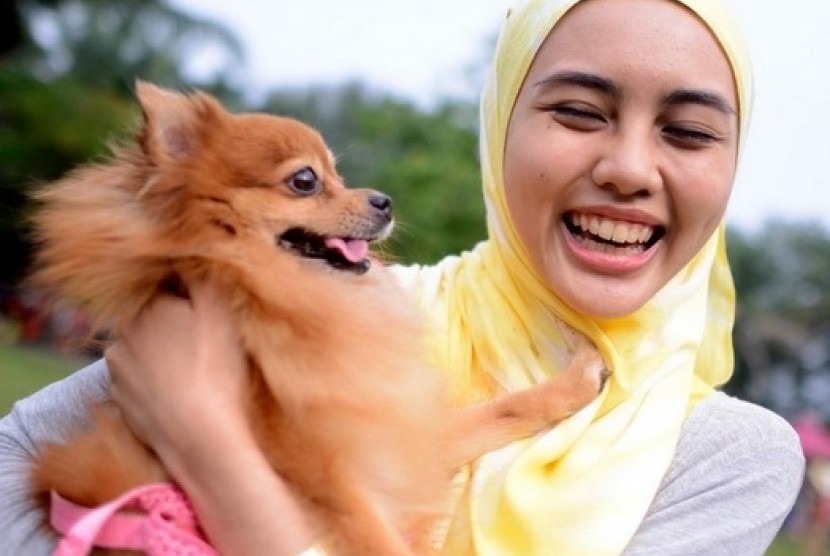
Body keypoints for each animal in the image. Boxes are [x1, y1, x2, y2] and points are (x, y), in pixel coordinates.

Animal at [29, 80, 608, 552]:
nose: (384, 200)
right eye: (306, 181)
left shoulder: (398, 439)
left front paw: (573, 382)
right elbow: (381, 541)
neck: (283, 301)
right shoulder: (334, 487)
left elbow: (501, 410)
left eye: (339, 172)